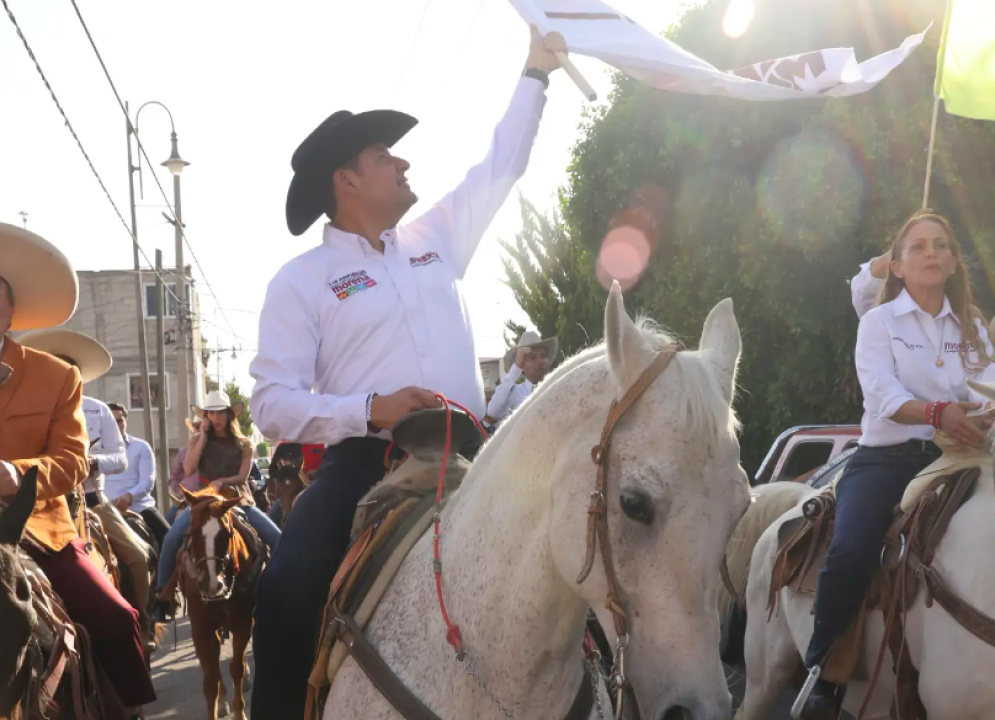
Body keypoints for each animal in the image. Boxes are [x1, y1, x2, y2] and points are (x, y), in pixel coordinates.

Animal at [177, 486, 266, 720]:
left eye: (226, 534)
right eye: (191, 533)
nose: (211, 584)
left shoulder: (244, 623)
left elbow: (237, 668)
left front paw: (240, 712)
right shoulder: (201, 629)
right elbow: (210, 680)